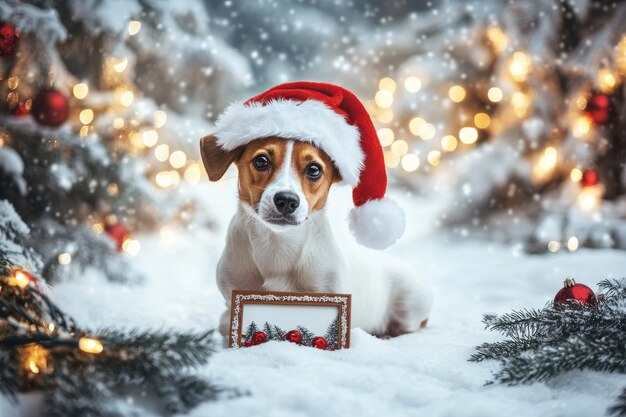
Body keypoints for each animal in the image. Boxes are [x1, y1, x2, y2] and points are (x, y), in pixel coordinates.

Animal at [199, 81, 428, 338]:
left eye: (314, 169)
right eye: (261, 161)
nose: (287, 200)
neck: (277, 247)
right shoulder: (233, 295)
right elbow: (224, 320)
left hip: (411, 303)